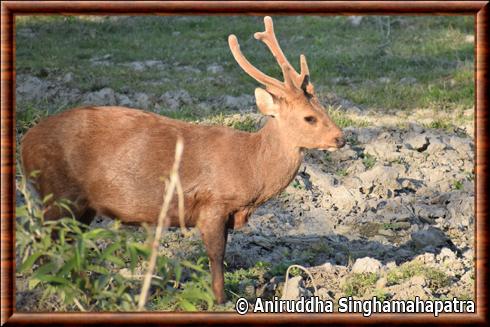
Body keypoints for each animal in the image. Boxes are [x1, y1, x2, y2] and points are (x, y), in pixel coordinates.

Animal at [21, 17, 344, 304]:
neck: (250, 169)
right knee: (46, 244)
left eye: (324, 108)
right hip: (57, 192)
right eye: (309, 117)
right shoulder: (213, 203)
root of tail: (25, 144)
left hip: (80, 205)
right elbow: (216, 256)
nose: (341, 138)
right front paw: (219, 300)